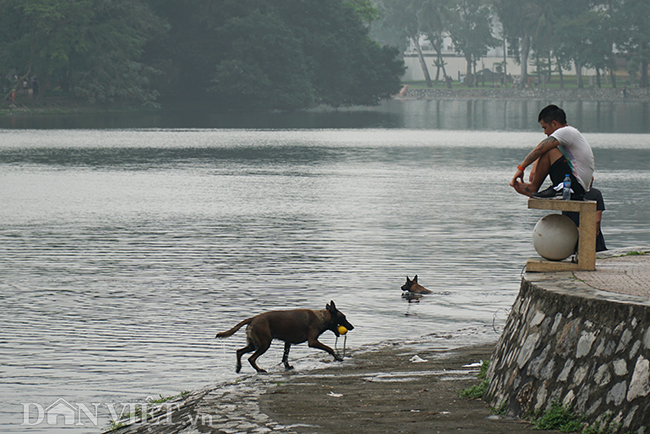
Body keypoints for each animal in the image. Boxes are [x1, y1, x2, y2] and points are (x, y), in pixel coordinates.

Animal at [215, 302, 352, 372]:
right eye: (344, 317)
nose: (352, 327)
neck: (322, 317)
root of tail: (252, 318)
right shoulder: (312, 341)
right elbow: (329, 348)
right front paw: (338, 358)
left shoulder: (288, 342)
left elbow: (285, 356)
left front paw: (287, 367)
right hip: (264, 344)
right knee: (251, 358)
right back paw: (259, 370)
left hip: (254, 344)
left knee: (239, 351)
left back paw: (238, 368)